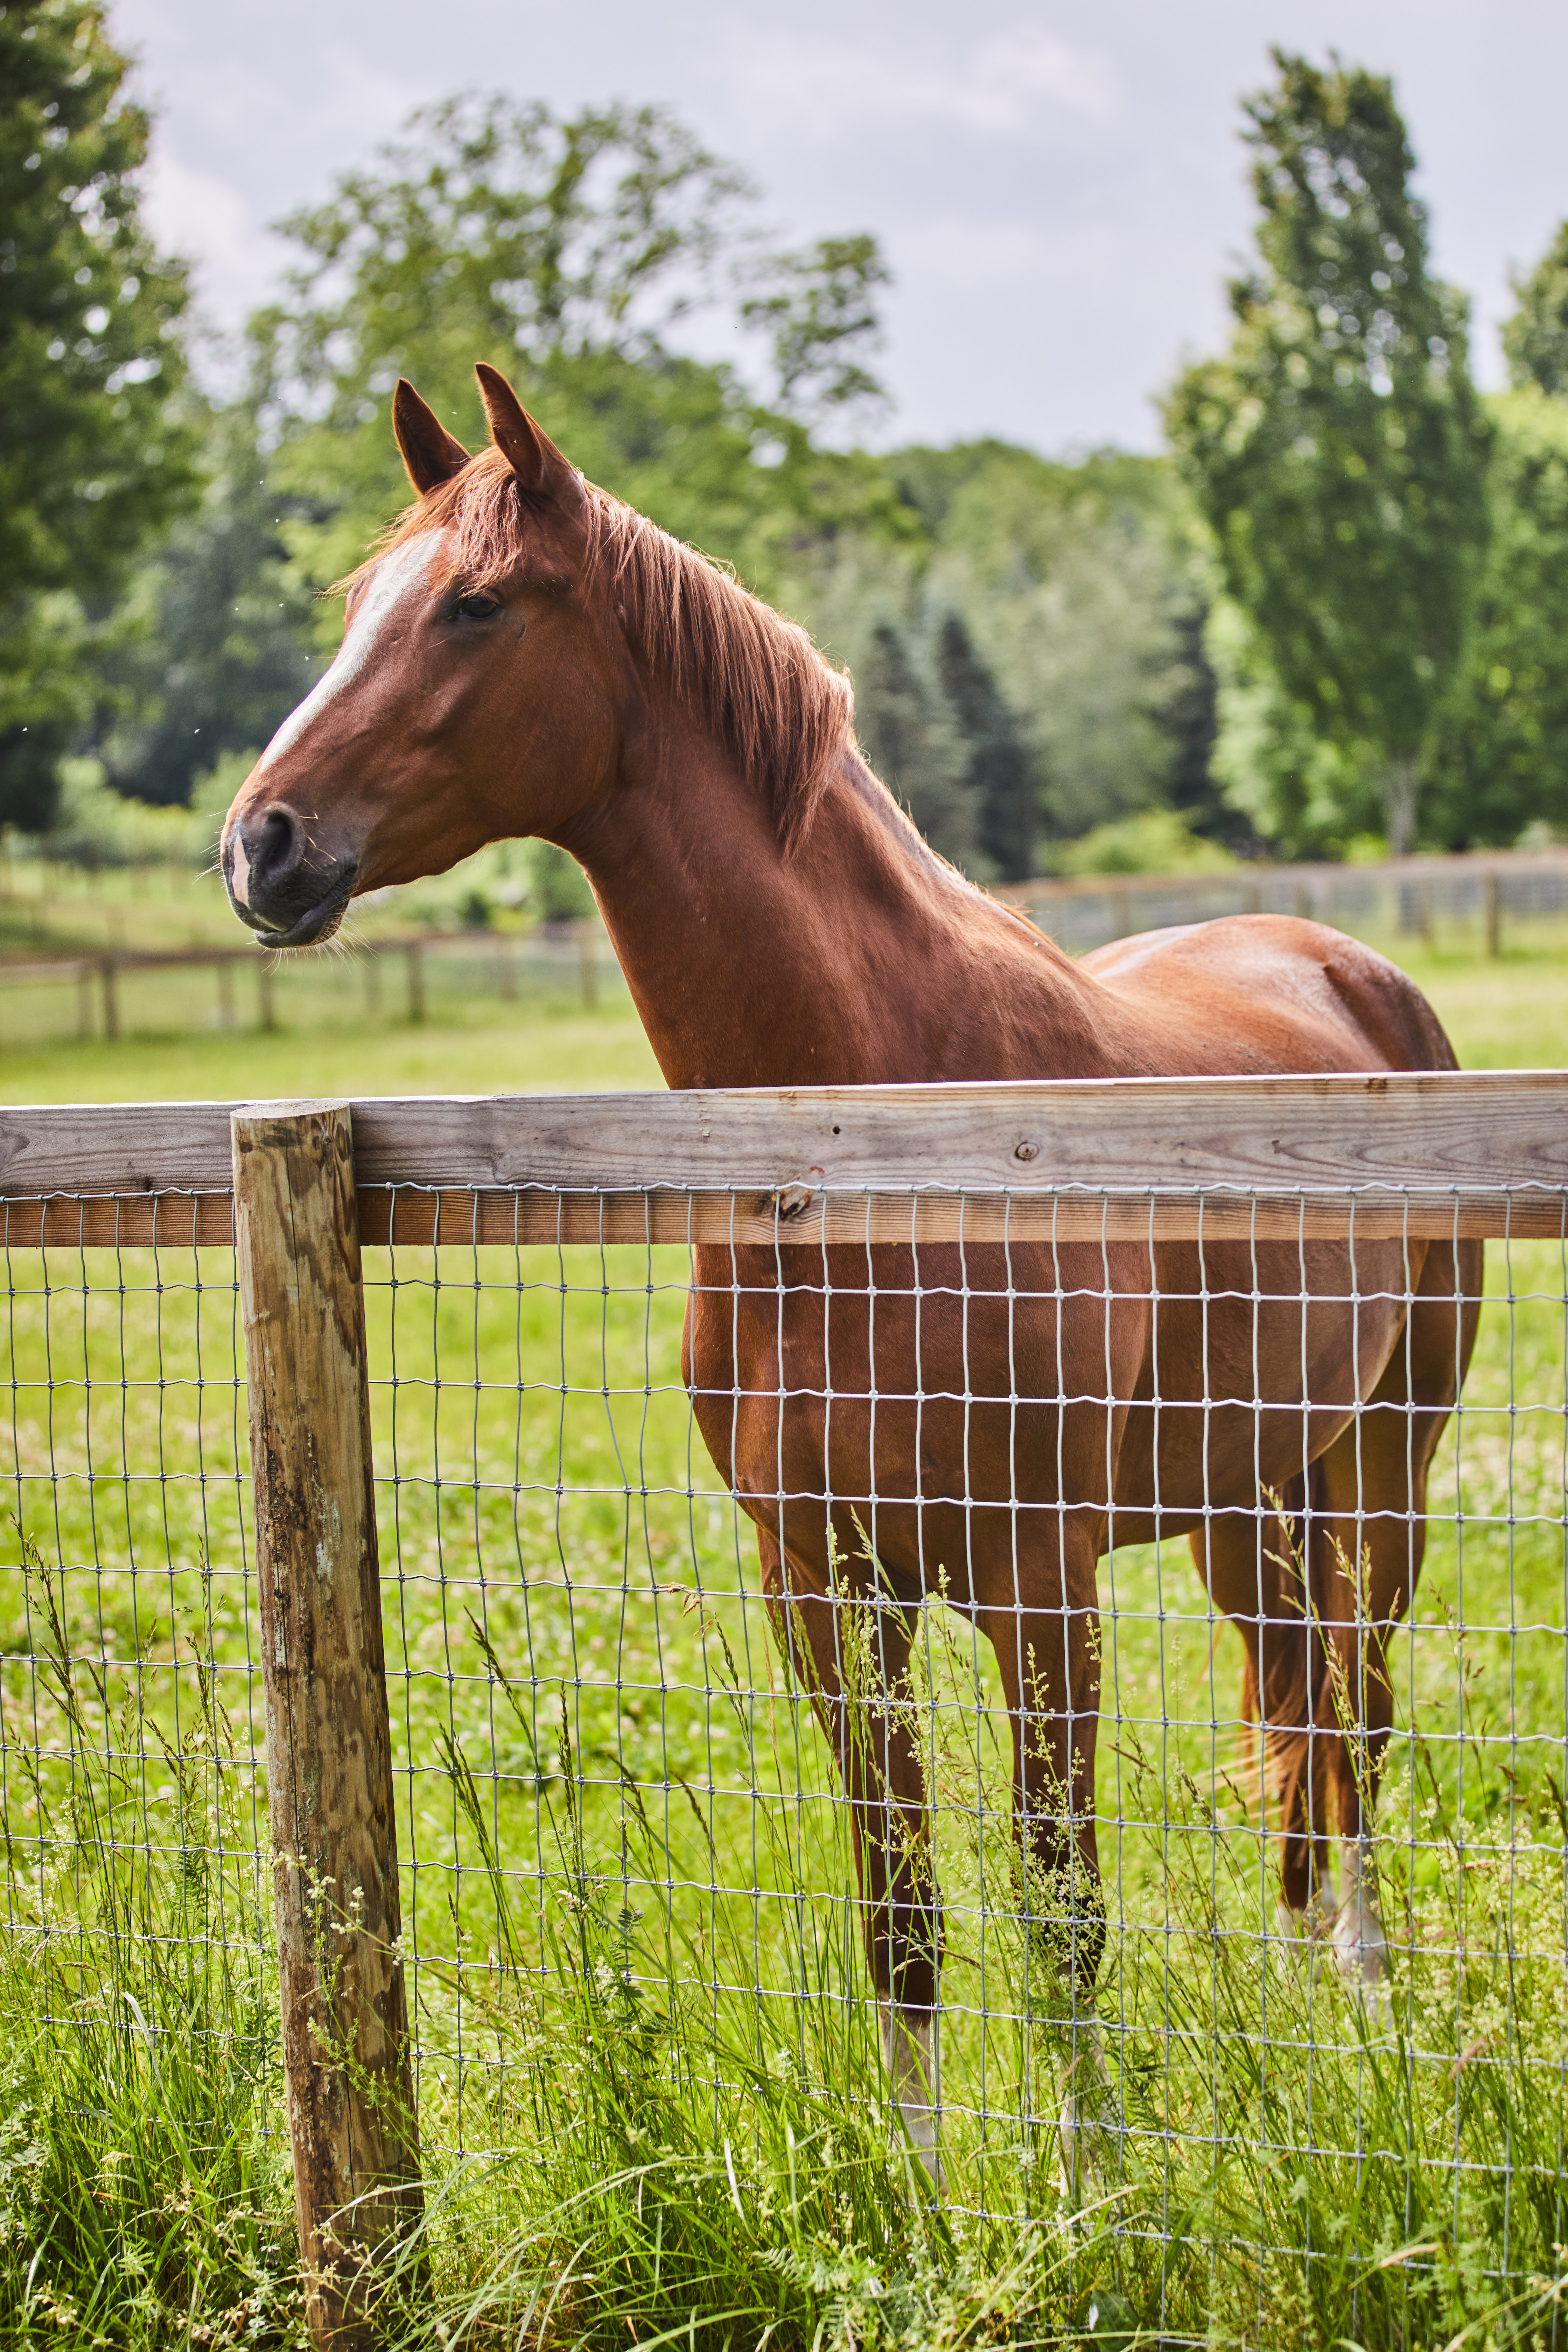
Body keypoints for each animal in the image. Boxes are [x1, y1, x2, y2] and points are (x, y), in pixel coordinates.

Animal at [221, 357, 1485, 2173]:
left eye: (474, 605)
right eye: (353, 605)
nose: (263, 846)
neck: (859, 1142)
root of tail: (1346, 967)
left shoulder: (1038, 1583)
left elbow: (1060, 1909)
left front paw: (1088, 2201)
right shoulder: (822, 1590)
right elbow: (903, 1922)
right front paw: (924, 2204)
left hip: (1382, 1470)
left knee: (1362, 1712)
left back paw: (1369, 2001)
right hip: (1244, 1494)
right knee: (1305, 1719)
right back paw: (1306, 1986)